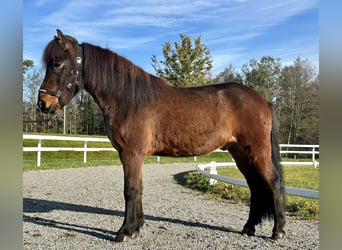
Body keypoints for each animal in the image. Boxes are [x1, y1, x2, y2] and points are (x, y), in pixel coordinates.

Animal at [37, 29, 284, 242]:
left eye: (57, 63)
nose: (43, 103)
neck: (129, 99)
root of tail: (263, 100)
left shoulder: (131, 153)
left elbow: (130, 190)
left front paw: (124, 232)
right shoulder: (135, 155)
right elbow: (139, 188)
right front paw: (136, 228)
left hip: (258, 152)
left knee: (273, 181)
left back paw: (277, 231)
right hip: (239, 153)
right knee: (254, 186)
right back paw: (249, 227)